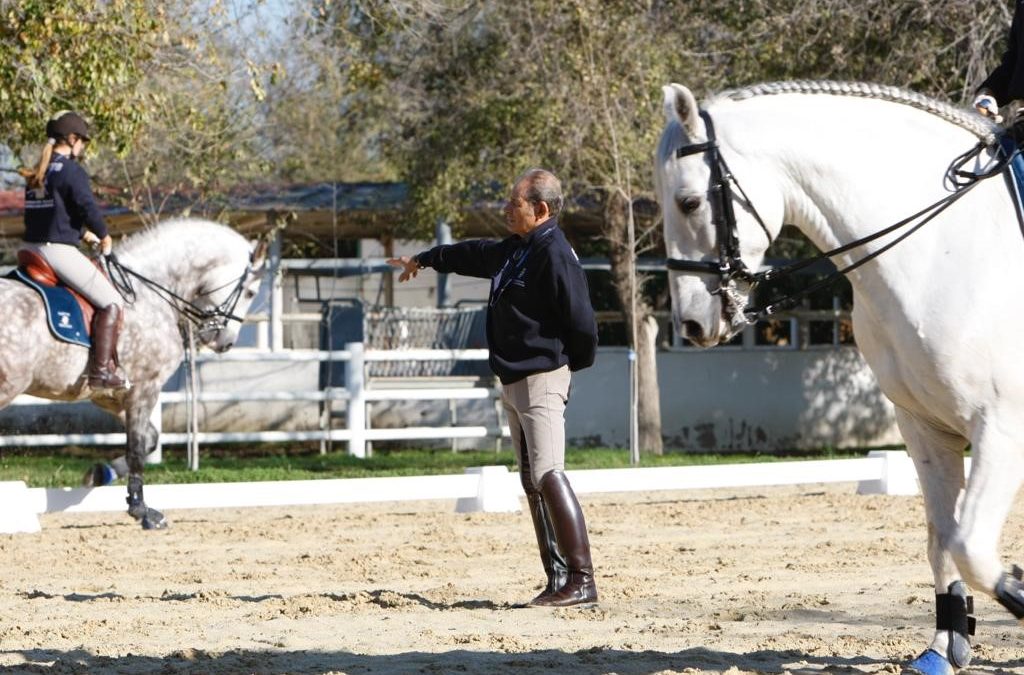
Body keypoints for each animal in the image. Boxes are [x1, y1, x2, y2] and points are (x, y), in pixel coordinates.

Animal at [1, 219, 264, 532]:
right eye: (250, 292)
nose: (225, 342)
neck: (149, 292)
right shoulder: (145, 387)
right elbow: (137, 448)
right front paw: (142, 511)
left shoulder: (111, 396)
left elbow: (150, 439)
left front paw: (101, 473)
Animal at [655, 80, 1024, 675]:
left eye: (689, 202)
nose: (690, 324)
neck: (941, 253)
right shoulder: (924, 426)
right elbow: (944, 539)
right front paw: (946, 649)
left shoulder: (1003, 427)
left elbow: (970, 546)